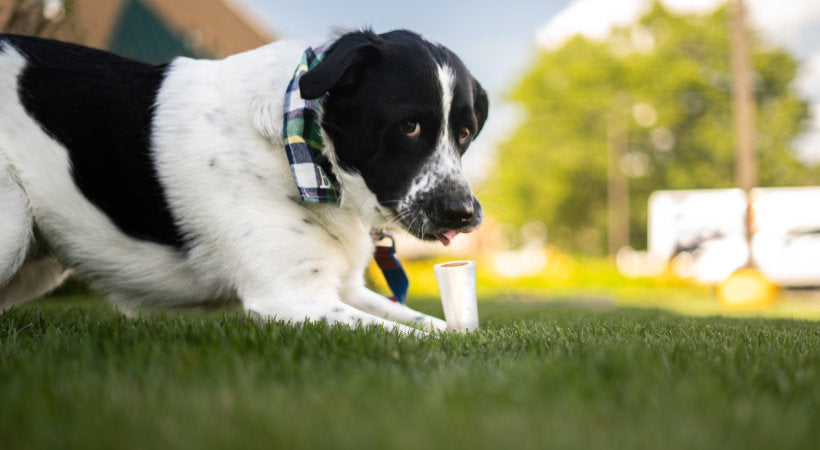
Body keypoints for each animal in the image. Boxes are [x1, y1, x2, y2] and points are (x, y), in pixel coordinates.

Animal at [0, 29, 486, 332]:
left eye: (464, 133)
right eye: (410, 127)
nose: (463, 214)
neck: (304, 147)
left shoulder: (342, 288)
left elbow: (442, 328)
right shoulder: (291, 299)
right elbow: (424, 339)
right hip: (14, 228)